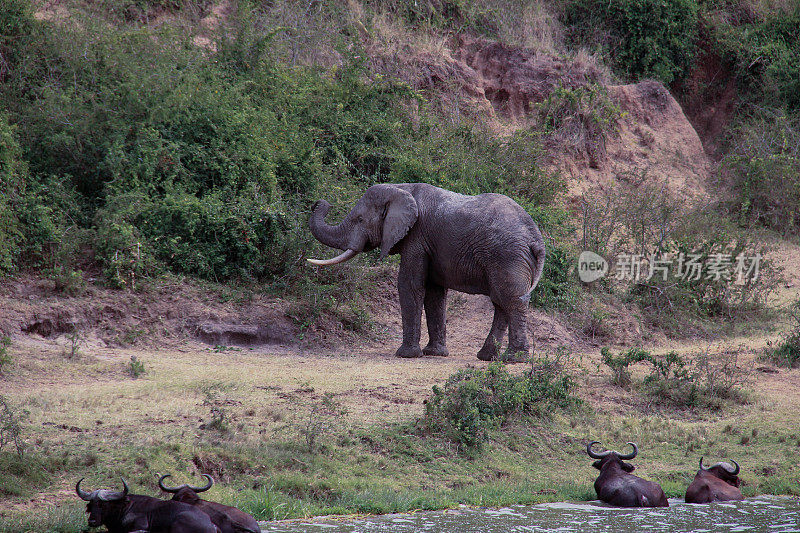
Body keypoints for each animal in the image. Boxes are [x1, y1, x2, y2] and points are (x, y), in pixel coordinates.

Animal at [306, 181, 544, 360]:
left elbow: (409, 285)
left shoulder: (417, 237)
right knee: (502, 302)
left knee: (512, 301)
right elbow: (434, 293)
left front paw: (406, 355)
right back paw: (486, 357)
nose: (319, 203)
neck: (401, 189)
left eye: (360, 220)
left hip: (507, 257)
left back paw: (514, 359)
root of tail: (537, 240)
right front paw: (435, 353)